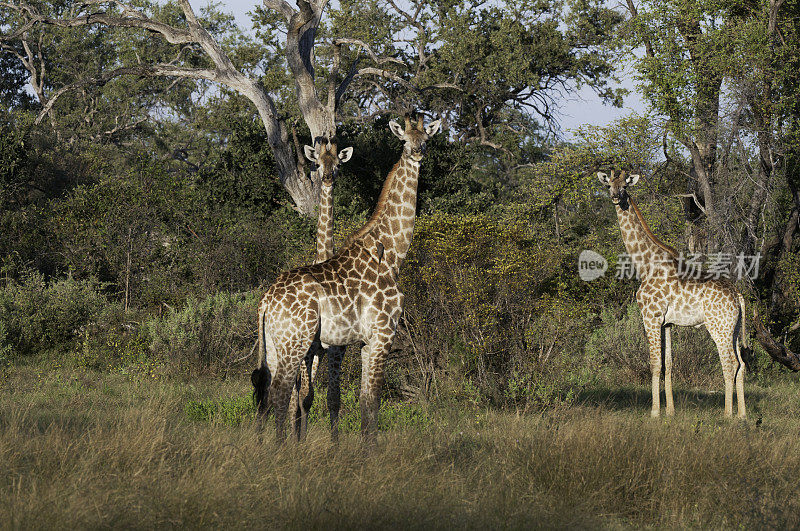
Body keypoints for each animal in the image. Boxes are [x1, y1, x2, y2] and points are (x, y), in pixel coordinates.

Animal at [255, 115, 444, 440]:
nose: (418, 152)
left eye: (426, 138)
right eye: (405, 140)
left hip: (275, 344)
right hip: (297, 342)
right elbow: (372, 400)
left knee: (270, 392)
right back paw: (281, 449)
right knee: (282, 392)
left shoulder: (365, 342)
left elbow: (362, 401)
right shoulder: (382, 335)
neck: (392, 254)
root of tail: (267, 300)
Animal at [596, 170, 748, 420]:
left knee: (730, 363)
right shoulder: (667, 323)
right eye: (608, 184)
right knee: (742, 364)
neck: (645, 265)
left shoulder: (651, 316)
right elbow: (668, 364)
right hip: (733, 328)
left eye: (625, 186)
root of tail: (738, 295)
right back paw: (743, 415)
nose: (616, 197)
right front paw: (670, 411)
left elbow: (654, 363)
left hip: (718, 326)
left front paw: (654, 412)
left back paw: (727, 415)